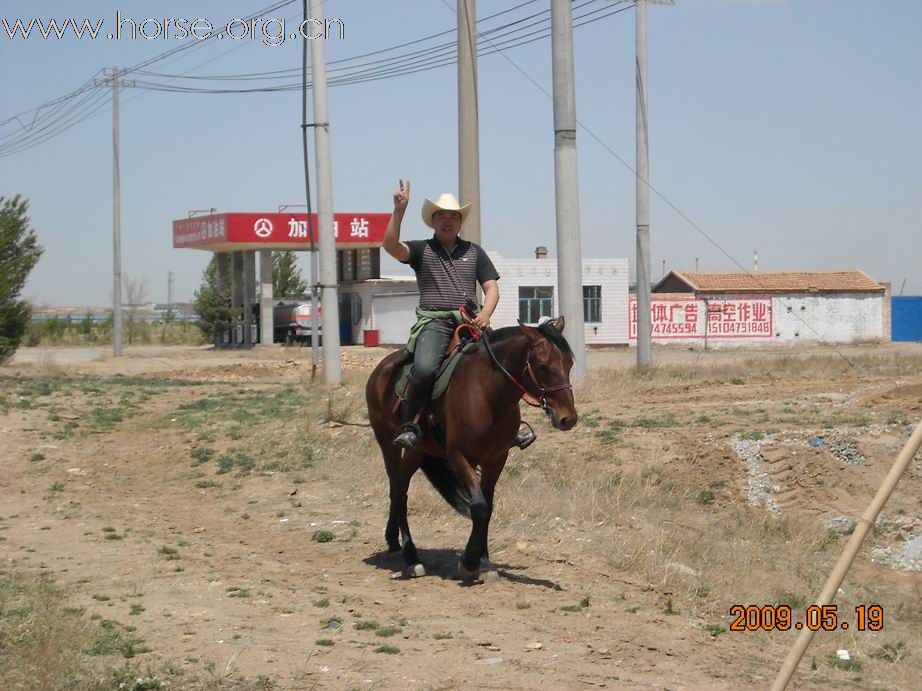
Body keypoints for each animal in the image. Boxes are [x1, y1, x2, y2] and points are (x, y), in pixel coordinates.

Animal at [364, 318, 576, 584]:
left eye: (569, 363)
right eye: (543, 366)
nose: (568, 419)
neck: (487, 393)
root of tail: (381, 368)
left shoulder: (496, 459)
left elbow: (488, 506)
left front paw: (483, 561)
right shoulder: (460, 457)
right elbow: (479, 507)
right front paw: (469, 563)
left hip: (418, 451)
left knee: (399, 489)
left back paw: (393, 542)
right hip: (389, 444)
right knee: (398, 492)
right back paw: (411, 559)